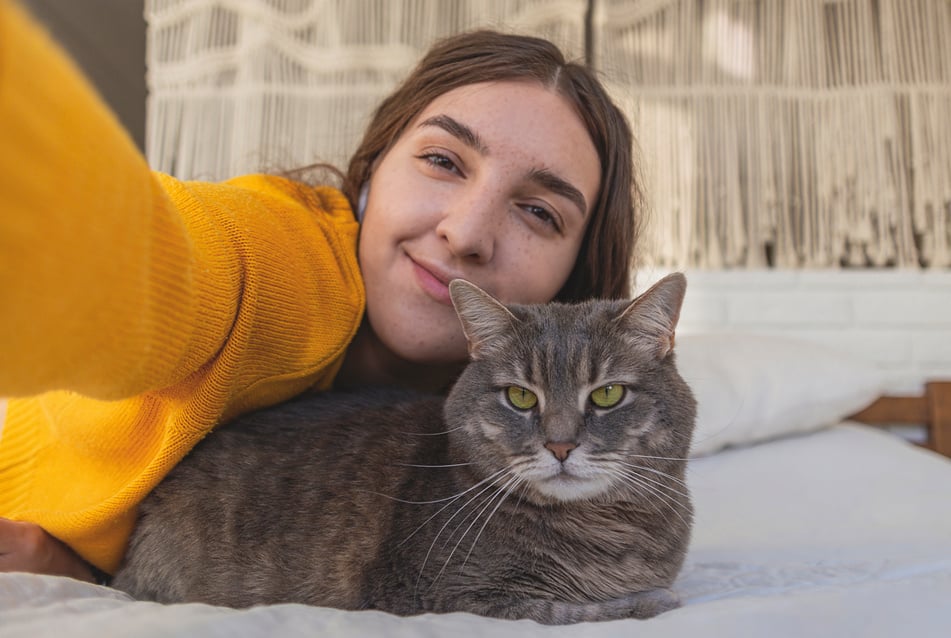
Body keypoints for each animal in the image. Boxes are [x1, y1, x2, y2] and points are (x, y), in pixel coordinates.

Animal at [111, 274, 696, 624]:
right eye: (520, 396)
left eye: (607, 394)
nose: (560, 444)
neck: (611, 531)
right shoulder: (449, 597)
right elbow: (575, 609)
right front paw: (652, 599)